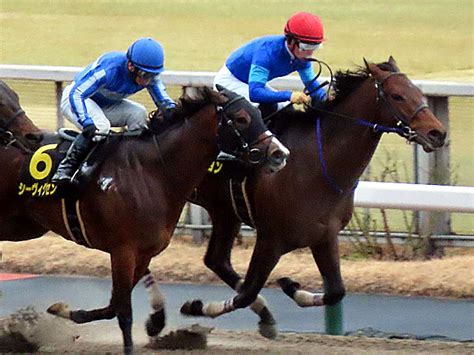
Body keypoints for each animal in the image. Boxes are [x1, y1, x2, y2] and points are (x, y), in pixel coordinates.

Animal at [0, 87, 288, 355]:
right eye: (241, 118)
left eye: (259, 114)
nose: (280, 153)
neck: (151, 172)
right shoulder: (123, 251)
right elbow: (123, 312)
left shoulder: (144, 252)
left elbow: (114, 305)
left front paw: (66, 311)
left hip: (25, 226)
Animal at [179, 57, 448, 338]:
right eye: (397, 96)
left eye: (416, 91)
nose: (437, 133)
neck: (316, 163)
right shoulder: (270, 239)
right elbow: (247, 293)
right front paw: (196, 306)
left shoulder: (323, 235)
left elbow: (336, 291)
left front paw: (290, 286)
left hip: (225, 211)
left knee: (216, 260)